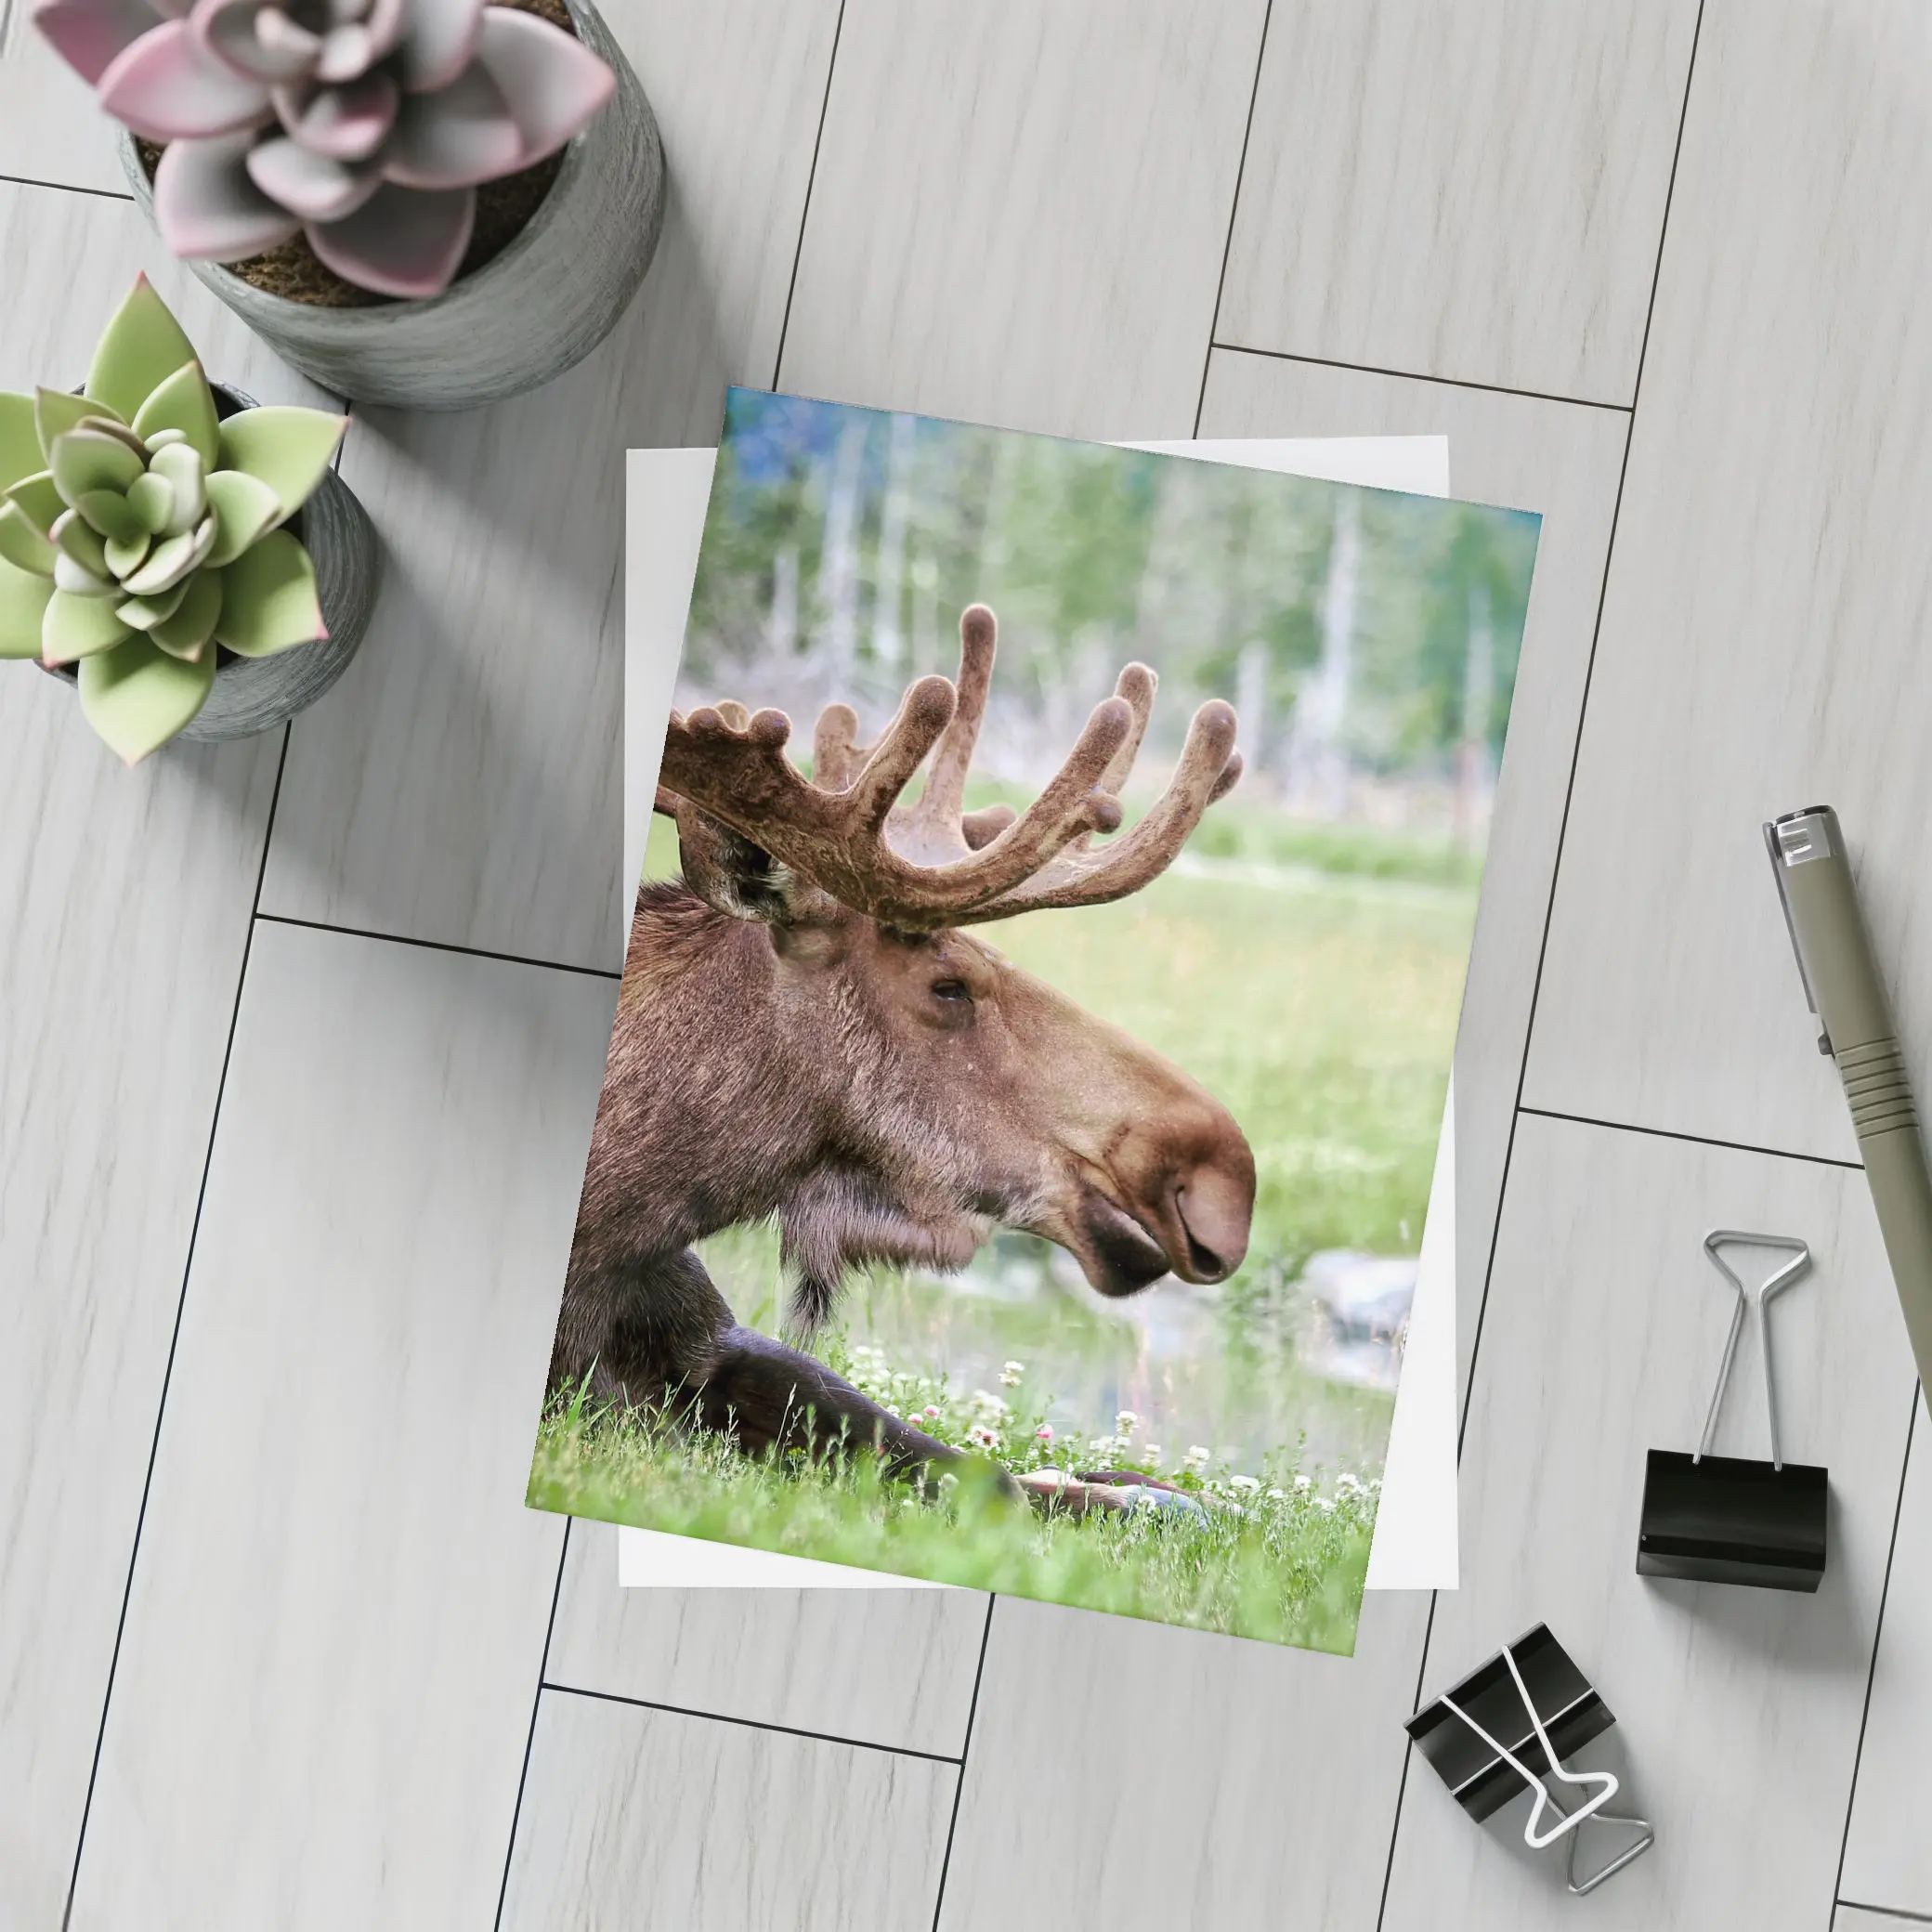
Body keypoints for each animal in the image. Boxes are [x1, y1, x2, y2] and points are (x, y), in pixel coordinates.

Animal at [549, 604, 1256, 1509]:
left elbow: (963, 1463)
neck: (611, 1228)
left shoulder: (723, 1338)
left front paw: (1142, 1485)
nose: (1222, 1175)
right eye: (948, 984)